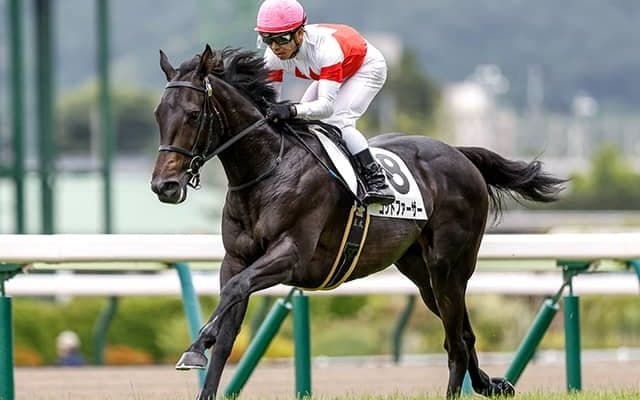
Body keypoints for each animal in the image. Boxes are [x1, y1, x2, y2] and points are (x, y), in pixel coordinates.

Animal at [151, 44, 565, 399]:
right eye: (158, 114)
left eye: (193, 113)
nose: (164, 186)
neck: (268, 169)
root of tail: (459, 154)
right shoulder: (236, 259)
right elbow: (228, 325)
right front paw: (204, 361)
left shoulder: (291, 255)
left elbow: (235, 292)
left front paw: (195, 346)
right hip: (421, 272)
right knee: (461, 333)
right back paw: (490, 383)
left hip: (450, 265)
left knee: (456, 343)